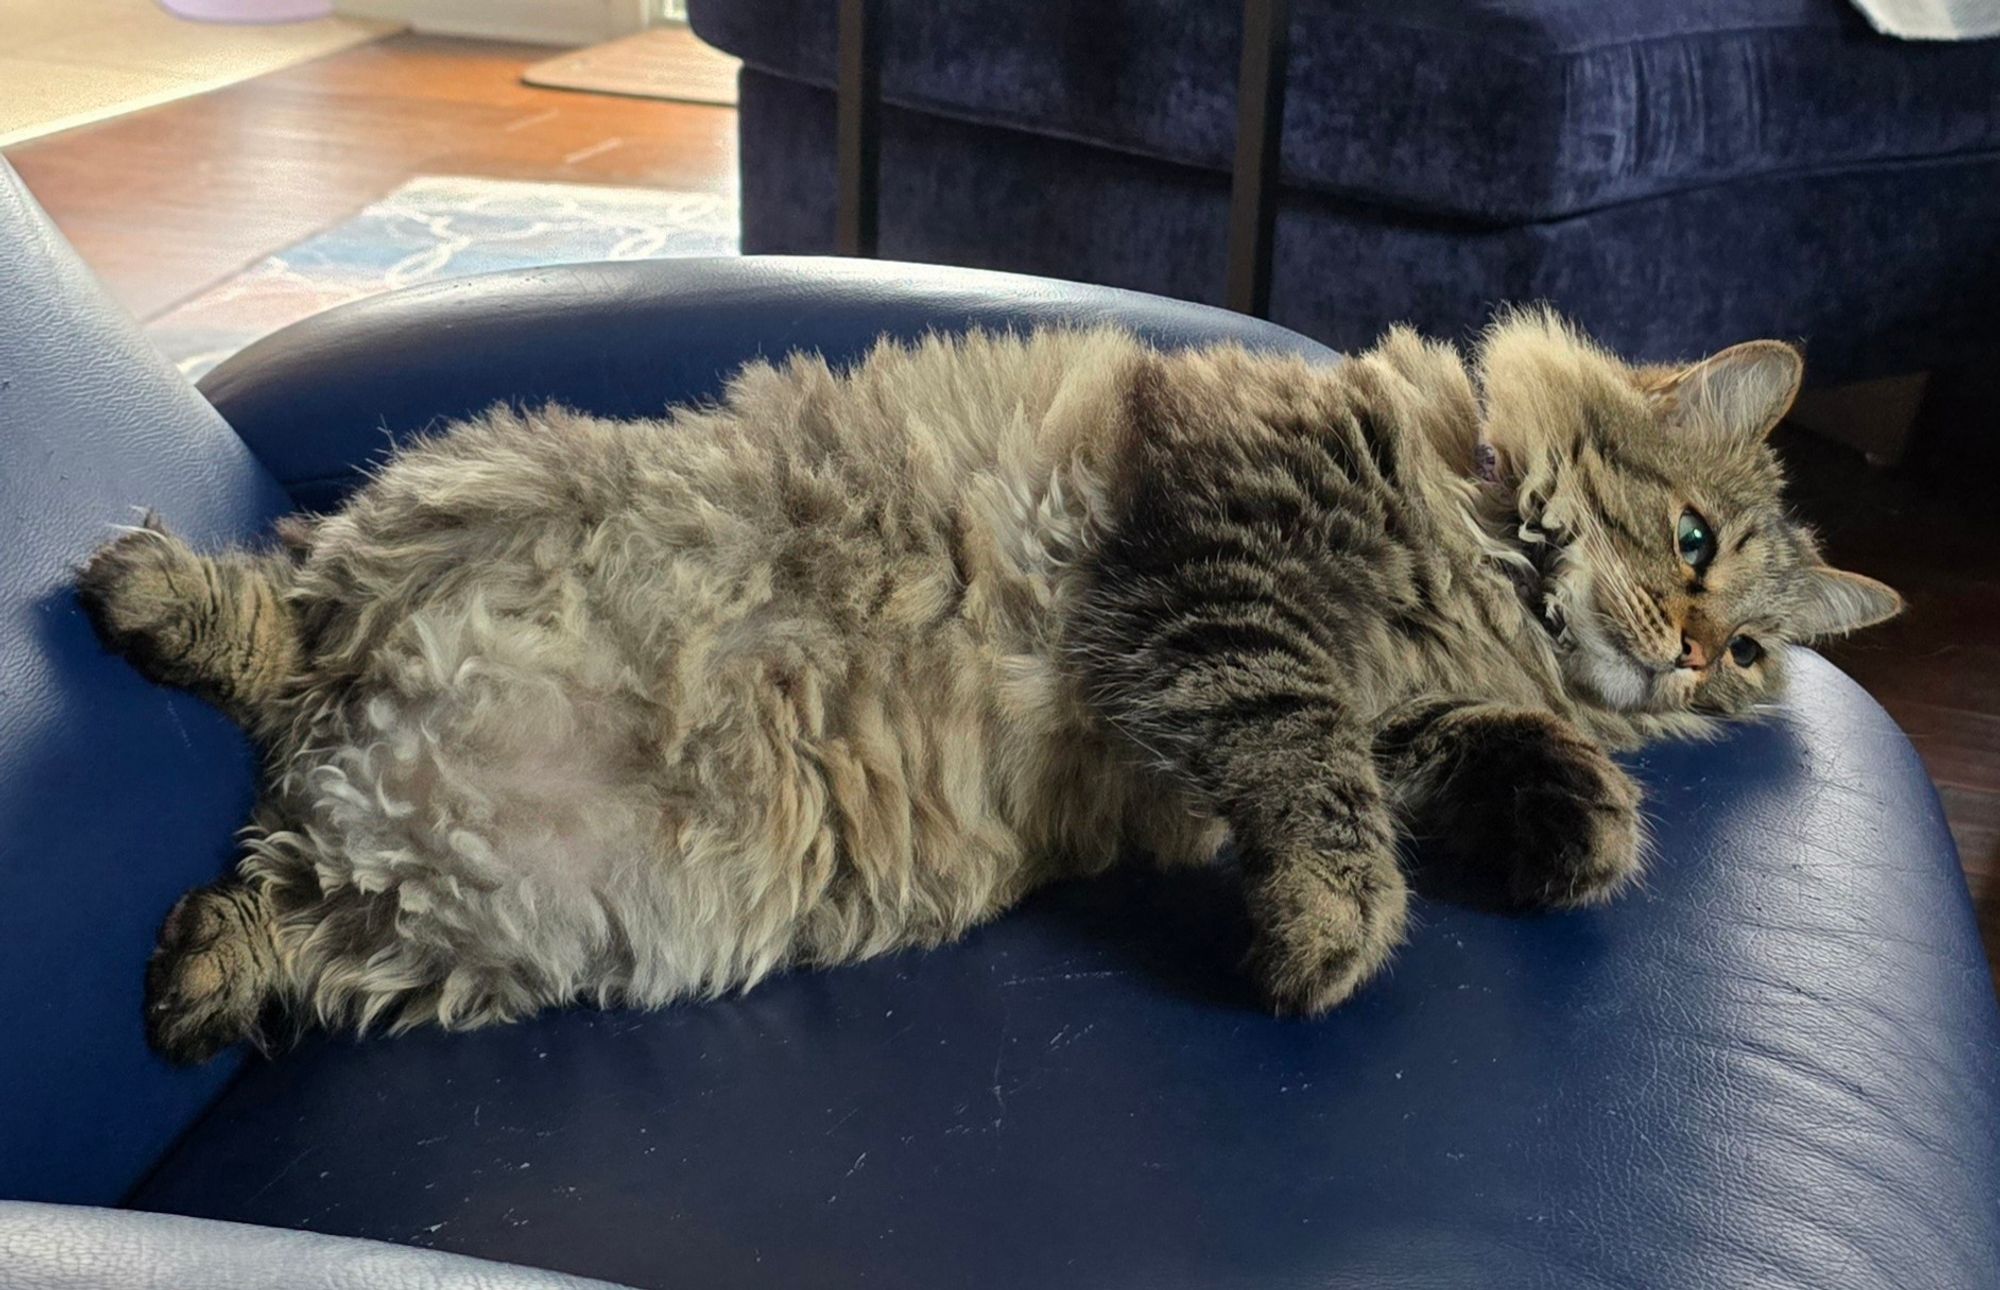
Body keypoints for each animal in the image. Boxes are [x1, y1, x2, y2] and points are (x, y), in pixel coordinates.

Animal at [74, 306, 1888, 1064]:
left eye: (1749, 649)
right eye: (1694, 537)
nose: (1688, 653)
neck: (1464, 575)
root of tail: (340, 776)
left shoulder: (1402, 706)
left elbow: (1475, 759)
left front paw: (1583, 820)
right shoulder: (1217, 567)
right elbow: (1310, 769)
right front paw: (1328, 934)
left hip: (481, 927)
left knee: (287, 909)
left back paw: (201, 979)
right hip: (451, 517)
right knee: (283, 625)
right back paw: (150, 595)